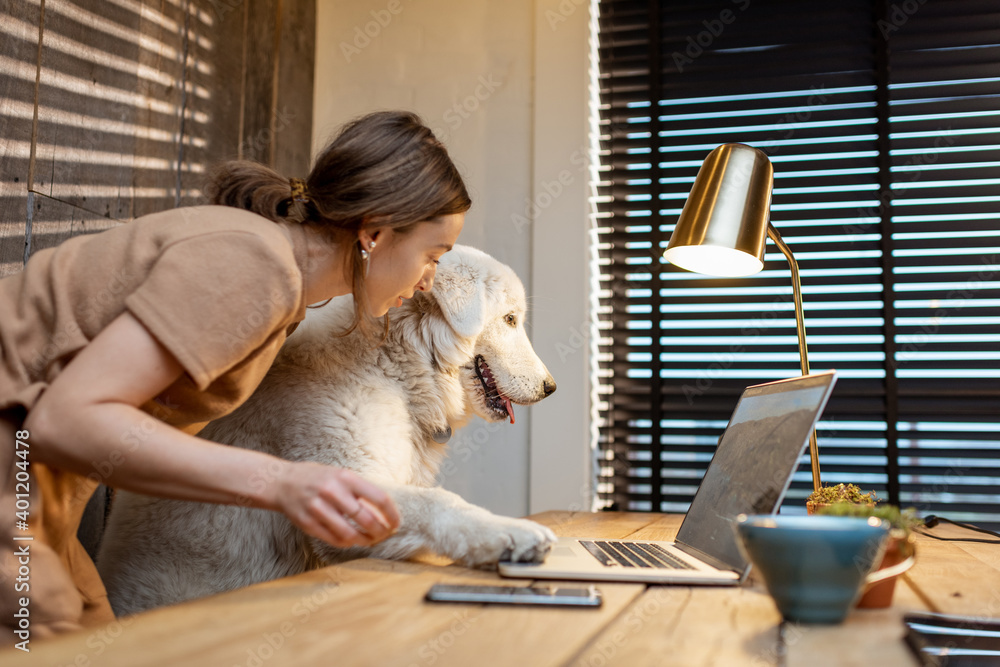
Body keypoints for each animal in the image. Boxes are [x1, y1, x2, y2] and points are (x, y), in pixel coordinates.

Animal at [101, 245, 564, 616]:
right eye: (510, 319)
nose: (551, 388)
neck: (394, 363)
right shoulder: (344, 496)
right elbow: (438, 502)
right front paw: (510, 534)